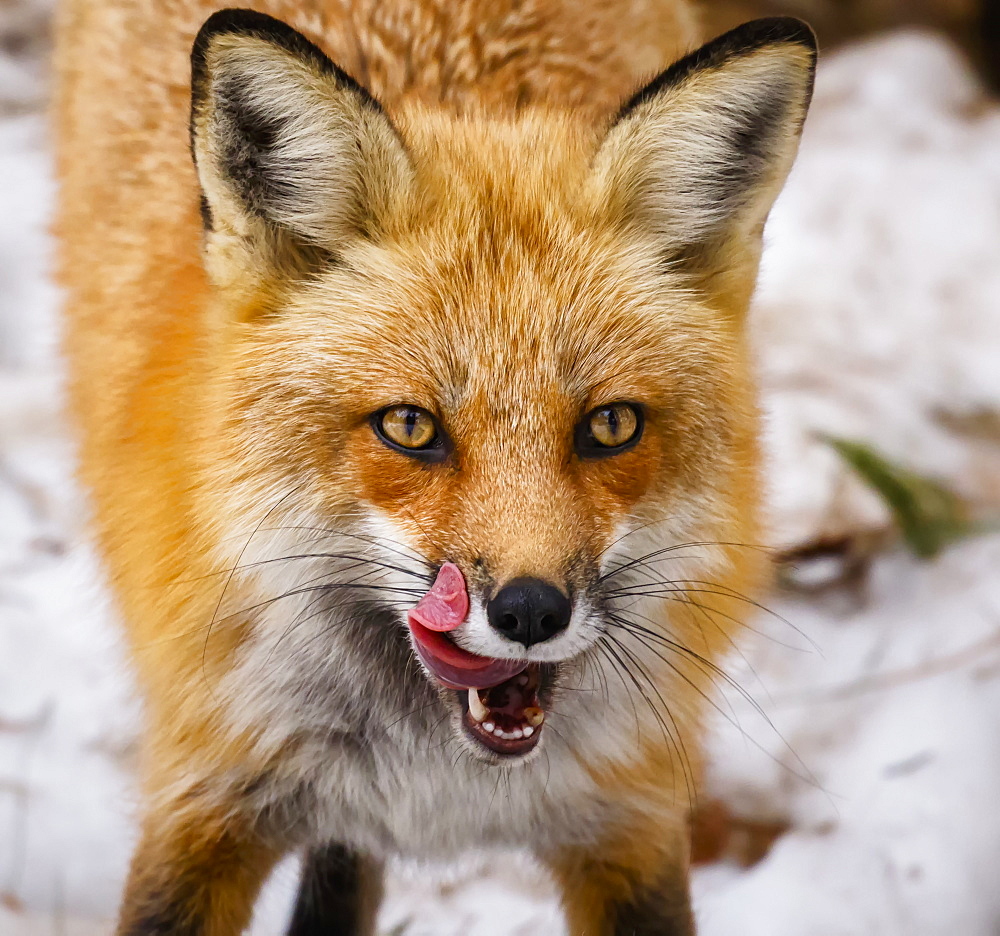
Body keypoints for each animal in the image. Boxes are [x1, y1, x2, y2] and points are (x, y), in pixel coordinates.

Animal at [54, 0, 816, 932]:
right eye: (410, 427)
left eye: (610, 425)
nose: (530, 612)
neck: (440, 786)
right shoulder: (206, 791)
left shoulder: (626, 823)